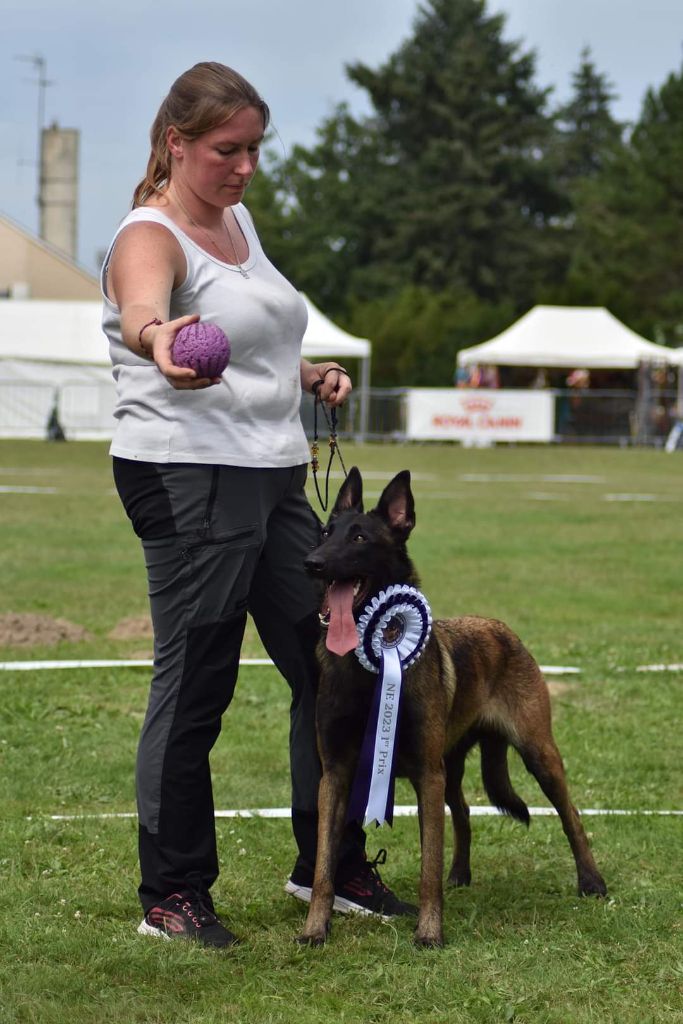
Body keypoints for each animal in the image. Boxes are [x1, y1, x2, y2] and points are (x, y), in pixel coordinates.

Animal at [299, 468, 610, 946]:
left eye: (359, 538)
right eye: (326, 532)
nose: (312, 562)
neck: (368, 666)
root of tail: (500, 627)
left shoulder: (427, 775)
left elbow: (428, 865)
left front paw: (429, 933)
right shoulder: (335, 774)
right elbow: (323, 866)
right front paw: (316, 928)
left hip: (538, 755)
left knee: (570, 815)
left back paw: (591, 882)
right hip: (452, 768)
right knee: (463, 815)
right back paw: (461, 873)